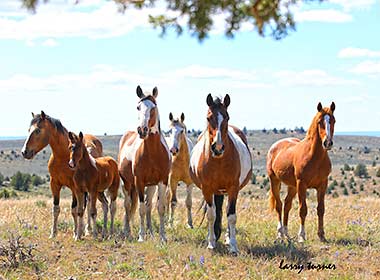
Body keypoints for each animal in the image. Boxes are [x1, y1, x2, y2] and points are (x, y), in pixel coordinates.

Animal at [117, 86, 171, 243]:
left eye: (154, 107)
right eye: (138, 107)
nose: (142, 130)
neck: (153, 152)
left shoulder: (162, 181)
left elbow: (159, 208)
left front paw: (162, 237)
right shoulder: (139, 181)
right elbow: (140, 209)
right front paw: (141, 236)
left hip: (151, 186)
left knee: (148, 206)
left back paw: (151, 233)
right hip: (127, 184)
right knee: (128, 205)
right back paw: (127, 232)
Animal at [189, 94, 252, 254]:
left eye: (227, 117)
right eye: (208, 118)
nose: (218, 147)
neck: (218, 161)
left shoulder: (233, 188)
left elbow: (231, 215)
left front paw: (233, 245)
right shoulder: (207, 189)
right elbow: (212, 215)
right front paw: (211, 242)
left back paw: (227, 238)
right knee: (216, 210)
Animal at [268, 101, 336, 242]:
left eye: (333, 120)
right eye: (320, 121)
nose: (328, 143)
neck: (314, 157)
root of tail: (275, 146)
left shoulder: (323, 184)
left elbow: (321, 209)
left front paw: (321, 235)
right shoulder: (302, 184)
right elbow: (303, 210)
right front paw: (301, 236)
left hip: (292, 186)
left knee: (287, 205)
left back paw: (286, 233)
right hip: (275, 181)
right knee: (279, 205)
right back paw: (280, 233)